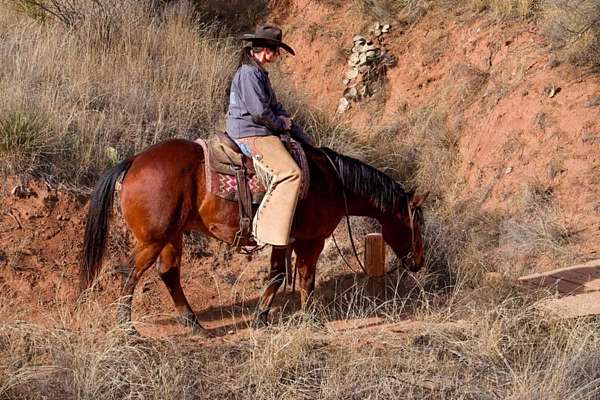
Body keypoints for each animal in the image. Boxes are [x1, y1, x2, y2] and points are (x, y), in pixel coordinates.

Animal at [81, 139, 426, 336]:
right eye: (418, 225)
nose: (418, 262)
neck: (333, 183)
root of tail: (133, 162)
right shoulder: (311, 241)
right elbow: (305, 279)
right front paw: (310, 319)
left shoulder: (284, 241)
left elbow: (276, 275)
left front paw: (261, 317)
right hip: (153, 240)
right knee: (132, 274)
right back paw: (127, 327)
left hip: (172, 236)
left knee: (168, 273)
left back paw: (194, 324)